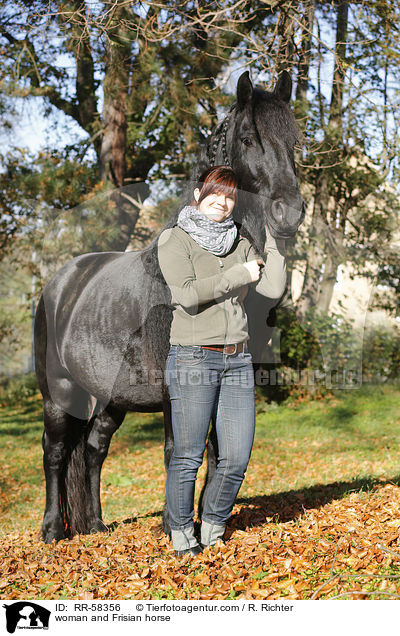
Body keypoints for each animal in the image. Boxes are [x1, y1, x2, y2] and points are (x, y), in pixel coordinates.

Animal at [35, 72, 304, 544]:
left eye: (294, 140)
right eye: (249, 138)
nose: (289, 213)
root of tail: (59, 283)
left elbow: (217, 451)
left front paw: (210, 524)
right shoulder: (172, 390)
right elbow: (178, 450)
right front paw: (173, 527)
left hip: (109, 400)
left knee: (93, 450)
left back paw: (96, 525)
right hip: (58, 392)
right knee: (55, 452)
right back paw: (52, 531)